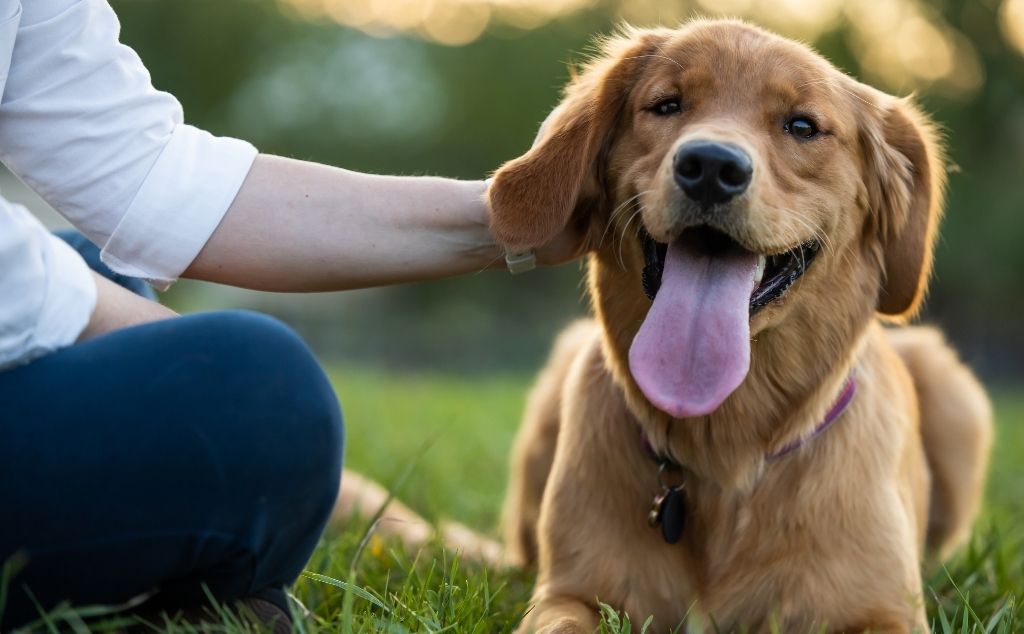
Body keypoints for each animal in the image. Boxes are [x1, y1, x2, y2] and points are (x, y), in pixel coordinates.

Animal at [487, 17, 991, 630]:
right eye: (667, 104)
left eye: (802, 126)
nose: (710, 167)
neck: (724, 445)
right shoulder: (568, 593)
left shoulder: (886, 611)